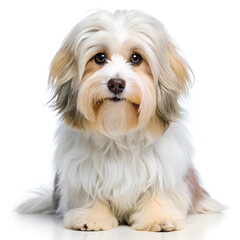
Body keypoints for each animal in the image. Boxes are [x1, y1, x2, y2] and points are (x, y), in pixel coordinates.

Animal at [17, 9, 223, 232]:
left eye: (136, 58)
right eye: (100, 57)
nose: (116, 83)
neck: (119, 133)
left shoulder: (163, 170)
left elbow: (158, 192)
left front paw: (159, 218)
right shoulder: (83, 174)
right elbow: (91, 194)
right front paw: (91, 216)